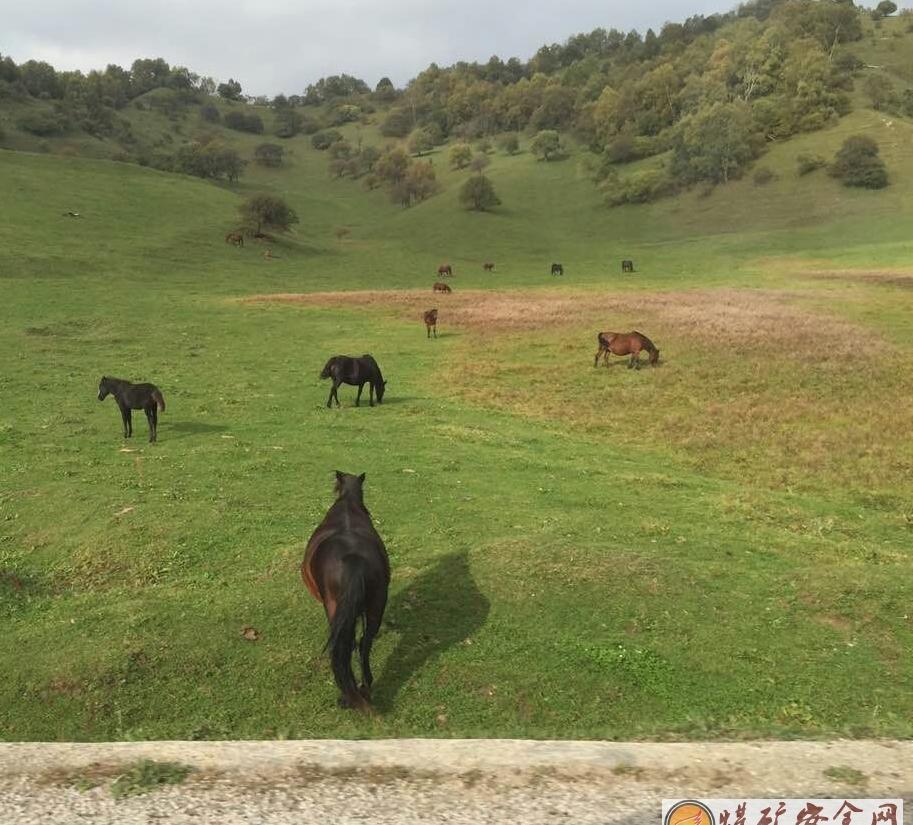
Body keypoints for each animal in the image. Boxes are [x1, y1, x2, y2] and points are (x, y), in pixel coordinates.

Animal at [302, 470, 390, 708]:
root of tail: (354, 558)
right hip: (377, 604)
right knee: (364, 644)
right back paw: (365, 686)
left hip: (334, 605)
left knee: (345, 646)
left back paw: (348, 695)